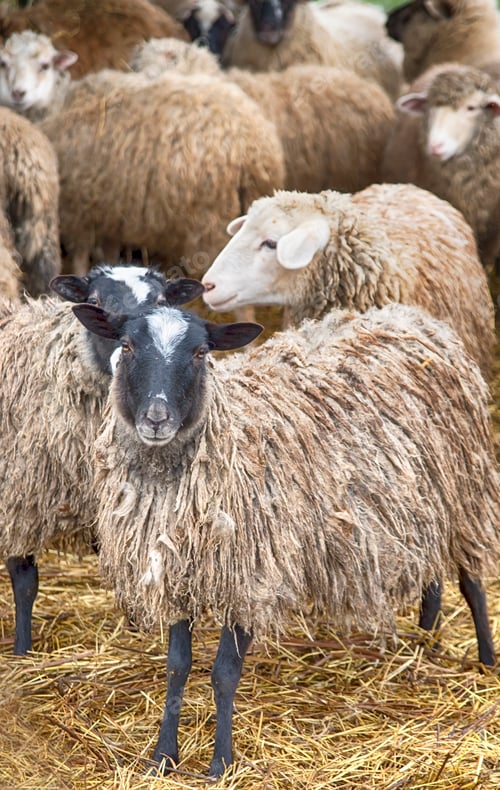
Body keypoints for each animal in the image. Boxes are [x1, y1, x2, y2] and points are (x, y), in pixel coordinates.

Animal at [0, 264, 204, 655]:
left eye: (160, 302)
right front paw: (22, 648)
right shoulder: (19, 494)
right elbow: (25, 580)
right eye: (94, 302)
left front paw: (138, 626)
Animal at [73, 299, 499, 777]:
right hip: (421, 505)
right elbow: (177, 667)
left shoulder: (253, 576)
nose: (156, 419)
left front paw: (221, 763)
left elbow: (224, 674)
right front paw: (163, 757)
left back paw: (485, 662)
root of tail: (412, 316)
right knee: (431, 576)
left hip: (466, 496)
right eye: (127, 345)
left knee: (472, 582)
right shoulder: (178, 571)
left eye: (201, 353)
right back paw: (424, 647)